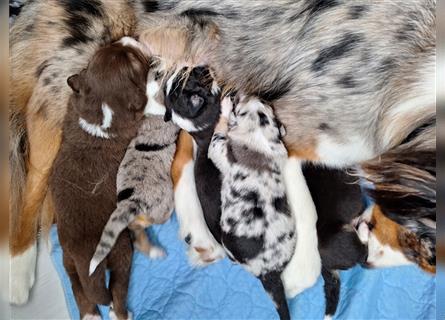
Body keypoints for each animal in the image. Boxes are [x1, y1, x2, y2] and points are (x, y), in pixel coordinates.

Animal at [49, 40, 148, 320]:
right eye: (134, 60)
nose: (128, 39)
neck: (100, 112)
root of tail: (86, 258)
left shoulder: (74, 103)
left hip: (67, 258)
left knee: (78, 287)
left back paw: (90, 314)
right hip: (121, 249)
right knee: (117, 287)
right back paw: (121, 313)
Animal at [207, 95, 294, 320]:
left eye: (239, 106)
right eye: (267, 104)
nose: (237, 95)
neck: (258, 137)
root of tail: (269, 272)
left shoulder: (219, 149)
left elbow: (220, 131)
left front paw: (225, 108)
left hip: (227, 243)